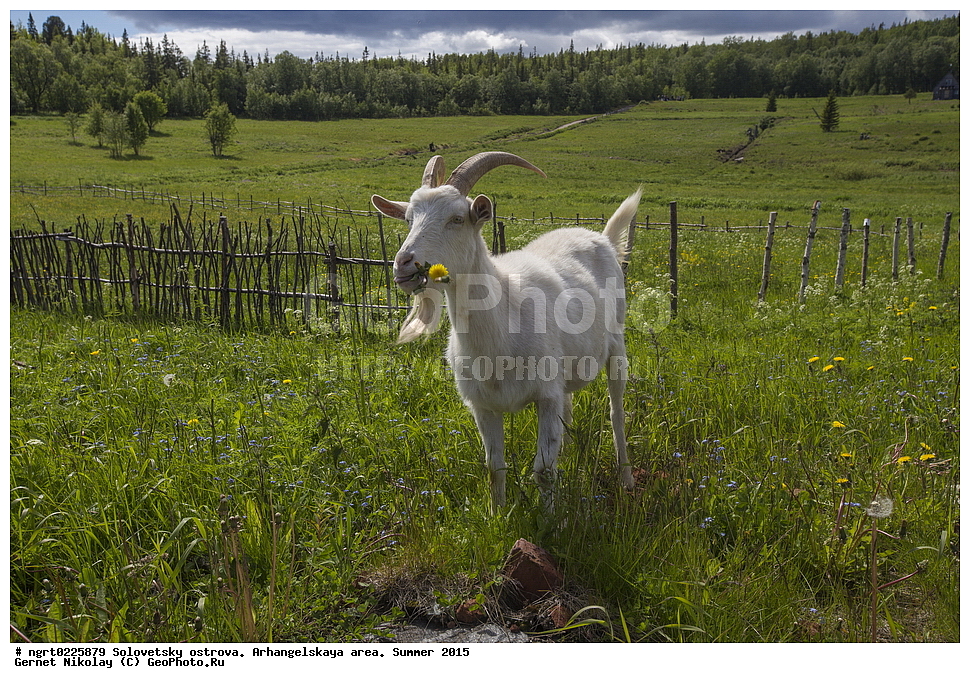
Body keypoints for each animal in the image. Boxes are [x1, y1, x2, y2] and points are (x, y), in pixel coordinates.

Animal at [372, 152, 640, 513]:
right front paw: (497, 515)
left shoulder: (546, 395)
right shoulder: (482, 406)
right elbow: (494, 467)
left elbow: (543, 471)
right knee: (569, 412)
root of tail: (600, 238)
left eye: (458, 218)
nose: (404, 264)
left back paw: (626, 479)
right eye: (409, 219)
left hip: (617, 348)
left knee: (616, 414)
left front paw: (549, 519)